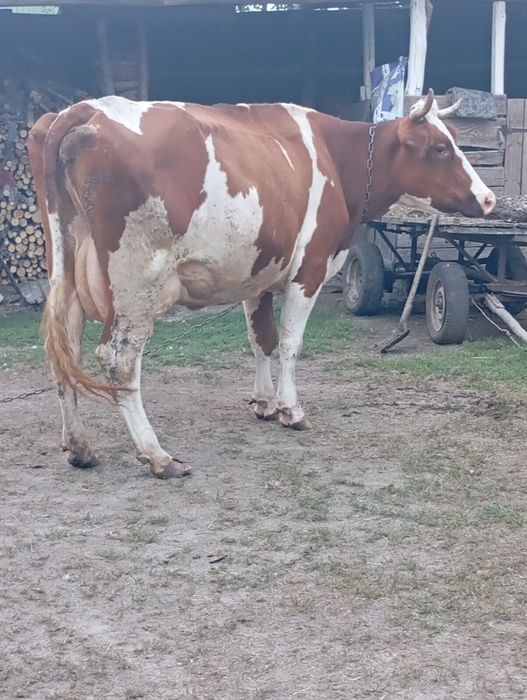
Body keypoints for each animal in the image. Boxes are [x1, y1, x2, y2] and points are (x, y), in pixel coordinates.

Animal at [29, 89, 496, 479]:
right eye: (440, 148)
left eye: (454, 139)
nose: (488, 198)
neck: (336, 158)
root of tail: (79, 110)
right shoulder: (309, 270)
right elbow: (289, 343)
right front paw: (291, 409)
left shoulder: (258, 276)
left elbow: (261, 340)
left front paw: (264, 403)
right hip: (136, 285)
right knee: (118, 358)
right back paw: (157, 455)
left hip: (65, 275)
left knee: (63, 351)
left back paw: (79, 447)